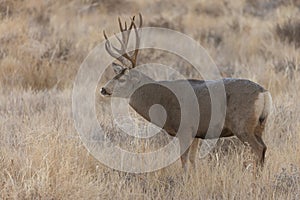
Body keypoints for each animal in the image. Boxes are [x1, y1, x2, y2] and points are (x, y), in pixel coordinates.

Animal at [100, 14, 272, 173]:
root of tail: (263, 93)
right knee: (264, 148)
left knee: (258, 149)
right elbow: (193, 159)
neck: (160, 100)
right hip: (259, 126)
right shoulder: (197, 133)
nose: (103, 89)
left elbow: (183, 159)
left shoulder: (185, 129)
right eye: (115, 75)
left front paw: (185, 179)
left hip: (242, 125)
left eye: (123, 78)